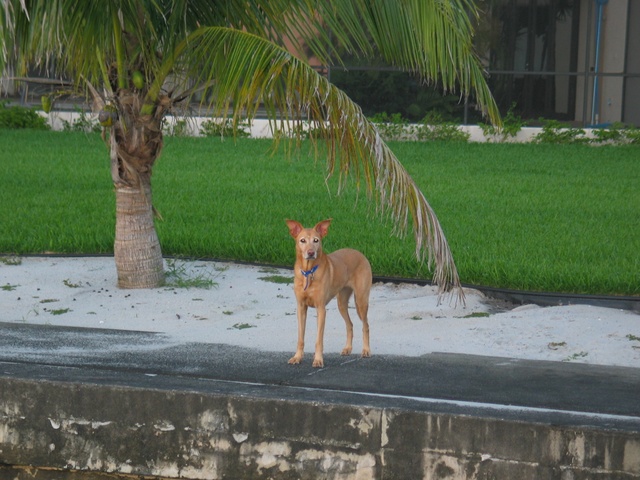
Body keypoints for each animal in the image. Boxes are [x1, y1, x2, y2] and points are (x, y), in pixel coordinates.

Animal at [286, 219, 372, 370]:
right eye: (302, 240)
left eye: (316, 240)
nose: (310, 253)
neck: (308, 272)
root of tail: (360, 254)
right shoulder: (301, 307)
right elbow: (300, 337)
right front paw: (297, 357)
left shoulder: (321, 309)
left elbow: (319, 339)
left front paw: (318, 360)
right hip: (341, 303)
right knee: (350, 325)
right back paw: (347, 348)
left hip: (361, 301)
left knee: (365, 325)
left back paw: (366, 350)